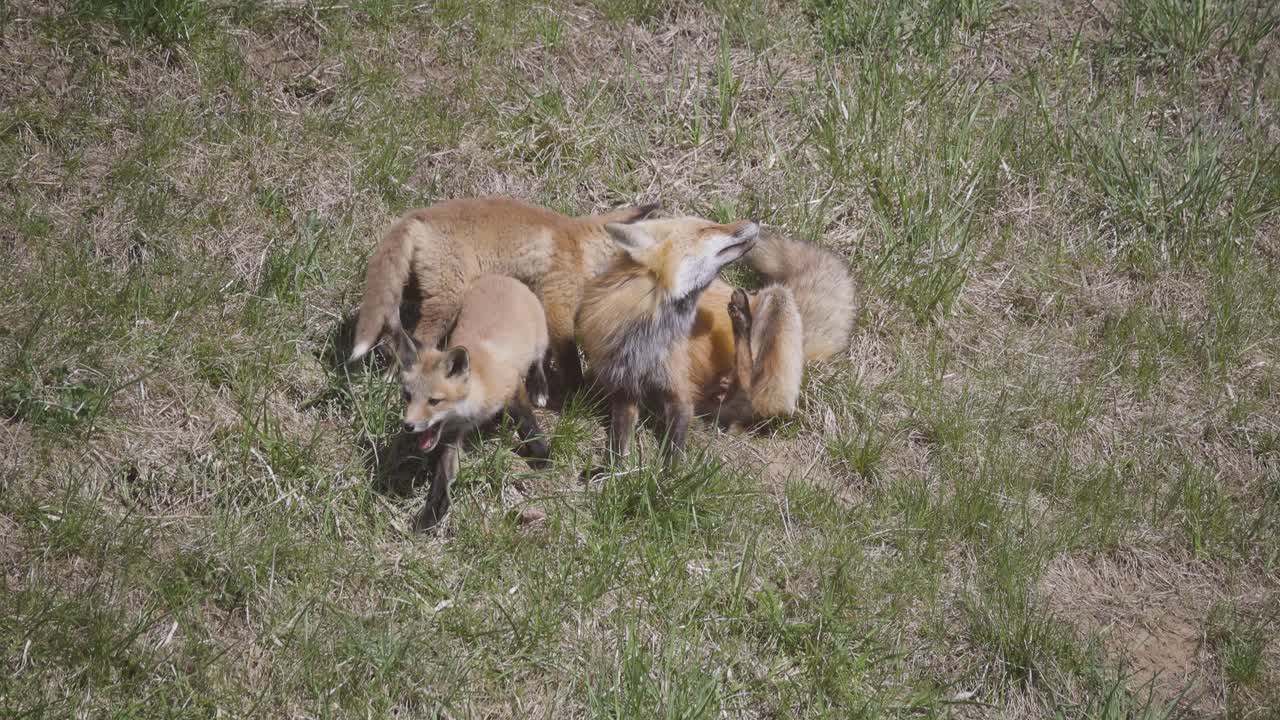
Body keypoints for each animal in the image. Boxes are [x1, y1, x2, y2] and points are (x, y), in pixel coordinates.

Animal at [349, 197, 659, 399]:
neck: (580, 246)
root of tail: (417, 215)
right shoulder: (556, 299)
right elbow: (567, 354)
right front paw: (579, 393)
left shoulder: (535, 302)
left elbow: (540, 351)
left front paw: (539, 387)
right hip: (448, 301)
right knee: (418, 338)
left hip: (418, 286)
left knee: (391, 318)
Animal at [395, 274, 552, 530]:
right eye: (408, 396)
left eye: (434, 401)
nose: (408, 426)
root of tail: (501, 277)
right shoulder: (451, 438)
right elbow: (442, 480)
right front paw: (432, 514)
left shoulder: (512, 386)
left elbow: (528, 423)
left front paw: (541, 455)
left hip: (539, 341)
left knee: (539, 360)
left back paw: (539, 386)